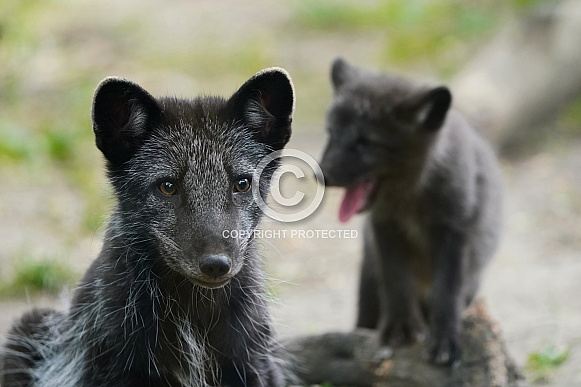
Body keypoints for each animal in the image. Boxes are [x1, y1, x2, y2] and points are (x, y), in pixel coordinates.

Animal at [320, 59, 500, 366]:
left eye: (364, 142)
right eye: (331, 133)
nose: (321, 175)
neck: (409, 200)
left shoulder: (452, 231)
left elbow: (446, 290)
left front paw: (445, 339)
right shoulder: (385, 227)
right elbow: (396, 280)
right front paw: (400, 327)